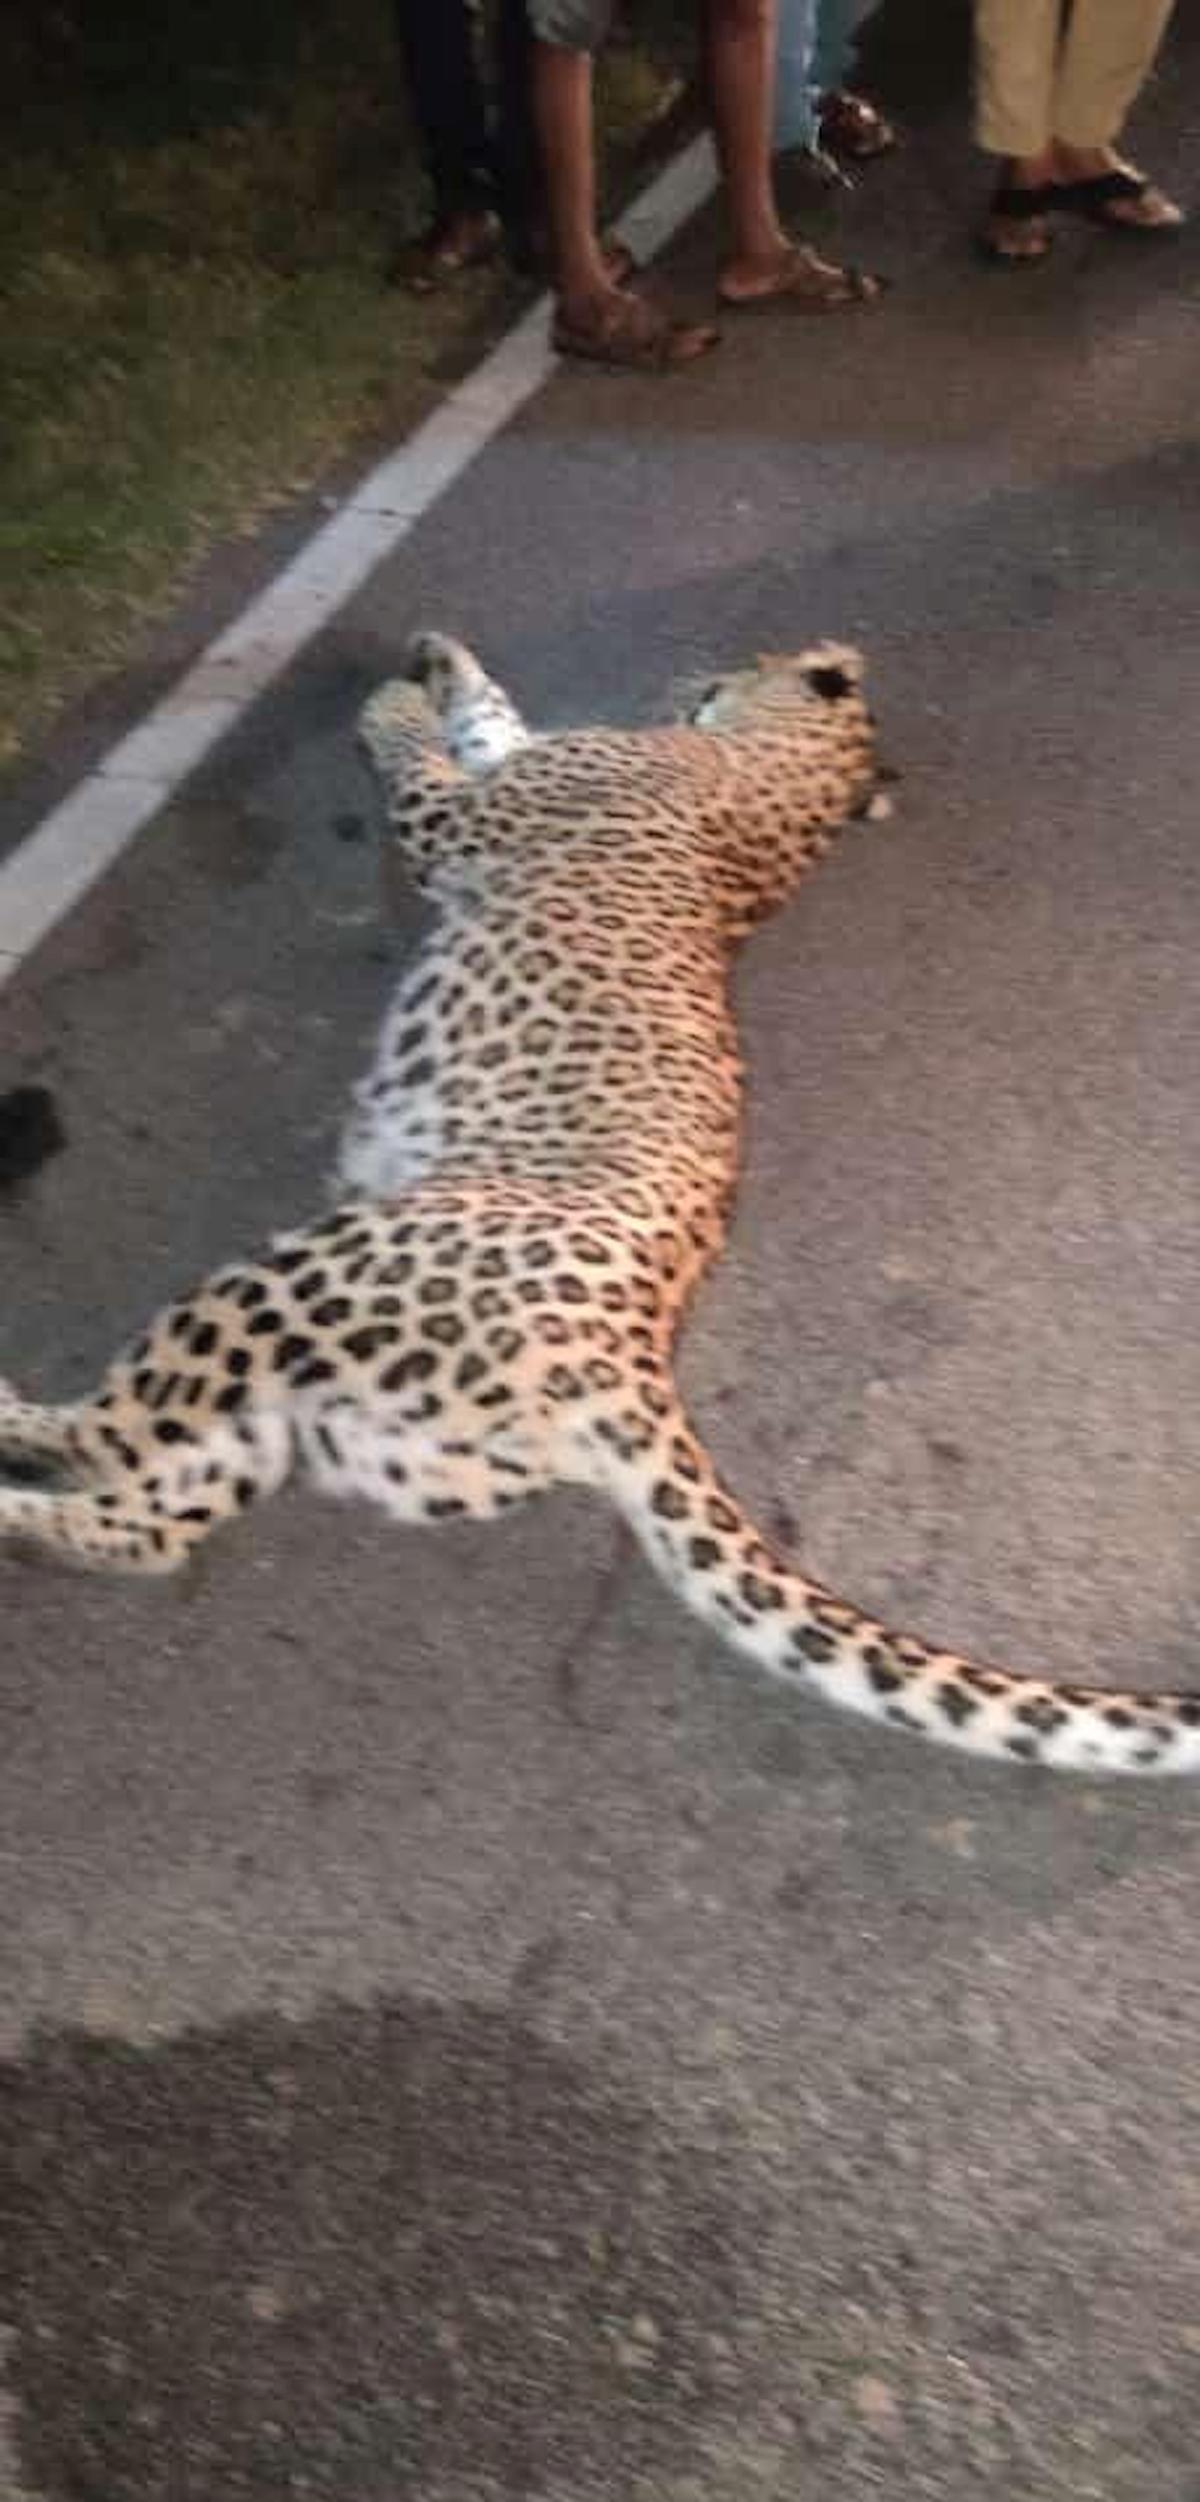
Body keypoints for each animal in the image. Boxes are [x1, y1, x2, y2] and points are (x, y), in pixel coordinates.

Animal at [3, 629, 1199, 1778]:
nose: (703, 672)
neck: (778, 804)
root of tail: (633, 1357)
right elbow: (490, 717)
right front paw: (442, 659)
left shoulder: (463, 818)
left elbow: (429, 758)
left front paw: (394, 699)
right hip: (345, 1422)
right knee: (158, 1515)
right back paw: (27, 1522)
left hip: (294, 1287)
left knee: (115, 1445)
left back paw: (9, 1435)